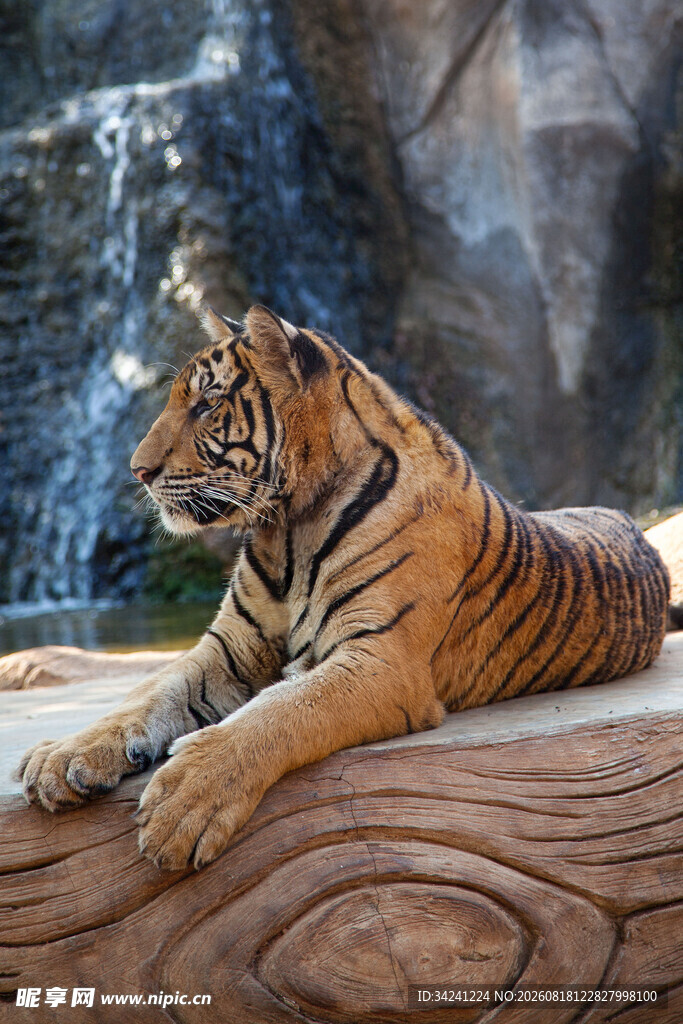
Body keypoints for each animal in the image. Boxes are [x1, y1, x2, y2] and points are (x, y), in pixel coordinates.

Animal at [16, 304, 670, 871]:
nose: (137, 471)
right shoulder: (229, 648)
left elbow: (279, 710)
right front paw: (63, 755)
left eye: (207, 403)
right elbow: (147, 694)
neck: (288, 529)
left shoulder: (380, 659)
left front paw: (185, 801)